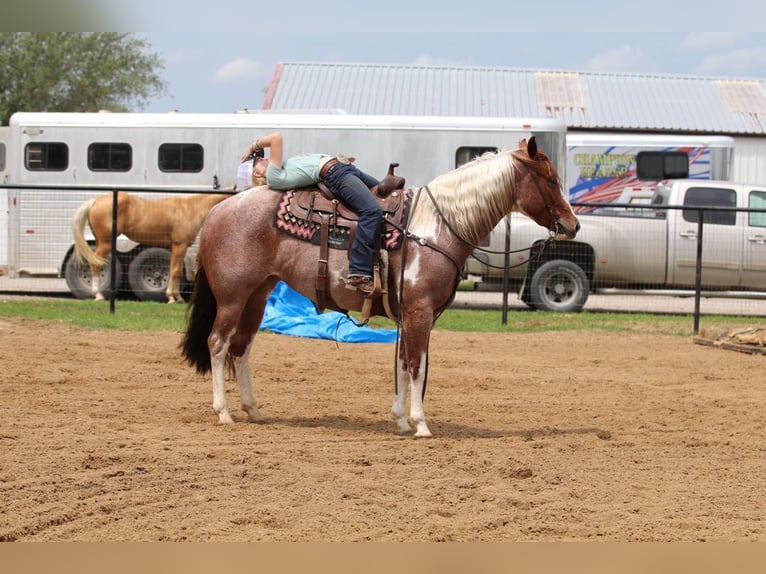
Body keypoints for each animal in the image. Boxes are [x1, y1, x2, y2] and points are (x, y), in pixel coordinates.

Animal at [72, 192, 231, 304]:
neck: (190, 209)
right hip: (105, 243)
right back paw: (98, 295)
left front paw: (178, 297)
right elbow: (174, 271)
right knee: (95, 264)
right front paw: (171, 298)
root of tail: (95, 201)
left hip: (101, 242)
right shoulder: (179, 246)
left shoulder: (180, 248)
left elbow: (177, 272)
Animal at [182, 137, 584, 438]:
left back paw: (253, 409)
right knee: (217, 344)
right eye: (551, 180)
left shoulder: (411, 314)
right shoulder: (420, 311)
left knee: (240, 347)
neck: (437, 227)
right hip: (232, 297)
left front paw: (402, 419)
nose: (573, 225)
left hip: (258, 295)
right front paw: (420, 424)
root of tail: (219, 210)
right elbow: (417, 365)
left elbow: (405, 363)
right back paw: (223, 412)